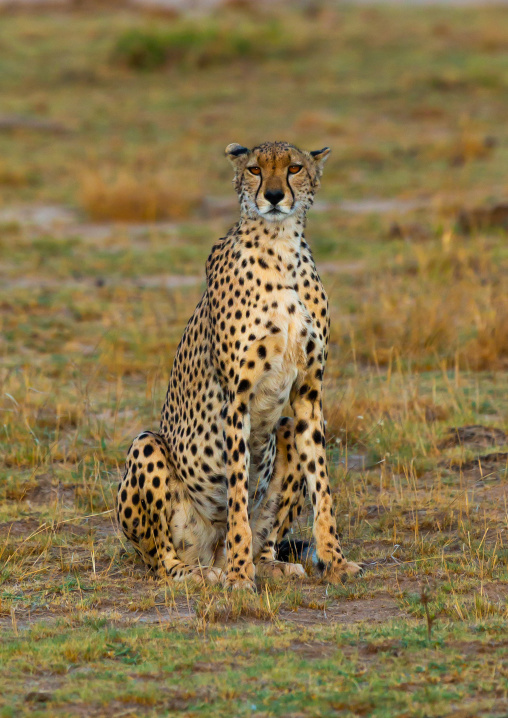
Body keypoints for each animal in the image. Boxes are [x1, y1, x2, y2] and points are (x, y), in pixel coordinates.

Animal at [116, 140, 363, 590]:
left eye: (294, 168)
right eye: (254, 169)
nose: (274, 196)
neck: (280, 247)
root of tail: (209, 552)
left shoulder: (309, 392)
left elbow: (322, 486)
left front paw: (336, 562)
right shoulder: (237, 396)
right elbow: (236, 495)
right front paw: (239, 578)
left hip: (284, 431)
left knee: (266, 532)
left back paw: (269, 563)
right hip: (147, 448)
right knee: (160, 559)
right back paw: (199, 571)